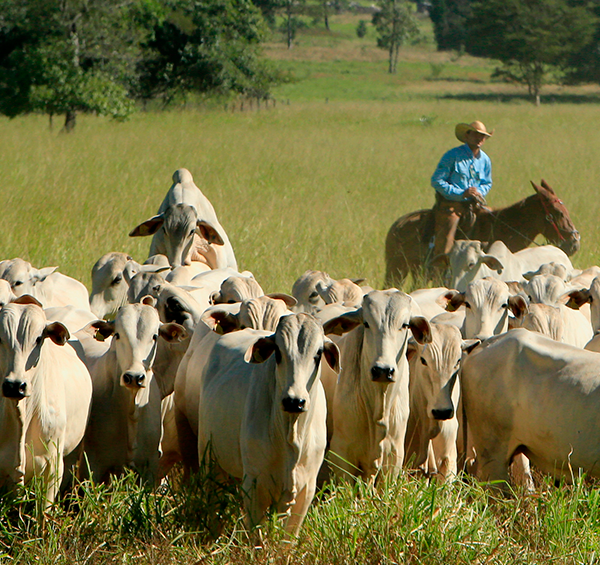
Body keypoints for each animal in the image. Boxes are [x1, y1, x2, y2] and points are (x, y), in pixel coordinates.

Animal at [197, 312, 338, 532]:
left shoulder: (306, 489)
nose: (294, 401)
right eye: (278, 352)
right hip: (209, 459)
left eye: (318, 353)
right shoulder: (255, 486)